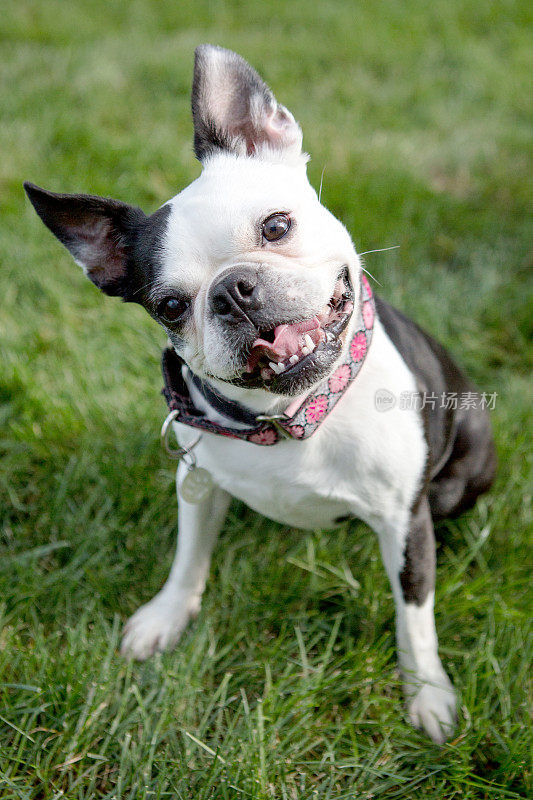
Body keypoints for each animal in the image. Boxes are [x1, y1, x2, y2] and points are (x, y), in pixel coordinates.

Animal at [23, 45, 494, 744]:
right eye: (169, 305)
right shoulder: (196, 482)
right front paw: (166, 617)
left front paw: (428, 693)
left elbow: (414, 618)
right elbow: (188, 559)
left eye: (276, 226)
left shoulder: (402, 522)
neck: (293, 418)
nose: (233, 290)